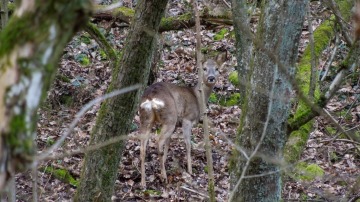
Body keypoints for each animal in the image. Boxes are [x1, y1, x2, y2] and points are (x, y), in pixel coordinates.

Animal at [138, 52, 225, 186]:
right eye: (204, 68)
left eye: (217, 69)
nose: (211, 78)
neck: (197, 98)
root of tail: (151, 98)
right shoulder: (187, 119)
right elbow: (188, 144)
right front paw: (190, 170)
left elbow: (169, 143)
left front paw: (163, 164)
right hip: (170, 117)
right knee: (158, 141)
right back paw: (164, 177)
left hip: (146, 119)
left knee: (142, 148)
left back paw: (143, 183)